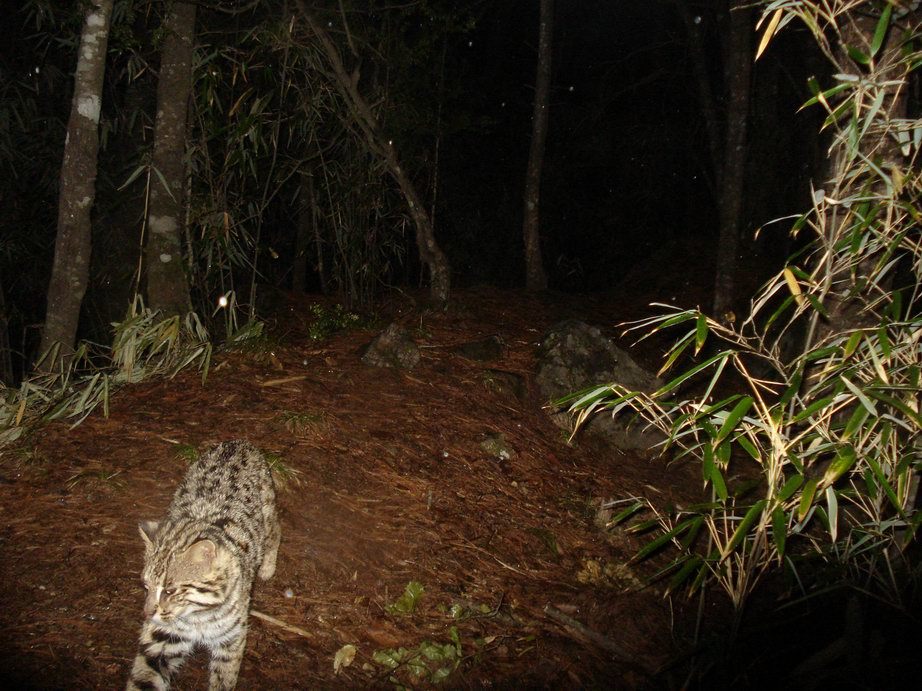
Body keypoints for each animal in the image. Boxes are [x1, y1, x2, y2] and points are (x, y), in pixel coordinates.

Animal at [125, 444, 280, 691]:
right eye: (145, 586)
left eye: (170, 590)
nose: (147, 613)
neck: (198, 616)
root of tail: (237, 443)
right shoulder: (161, 637)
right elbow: (143, 678)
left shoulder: (231, 639)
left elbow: (224, 680)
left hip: (267, 513)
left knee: (276, 533)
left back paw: (267, 567)